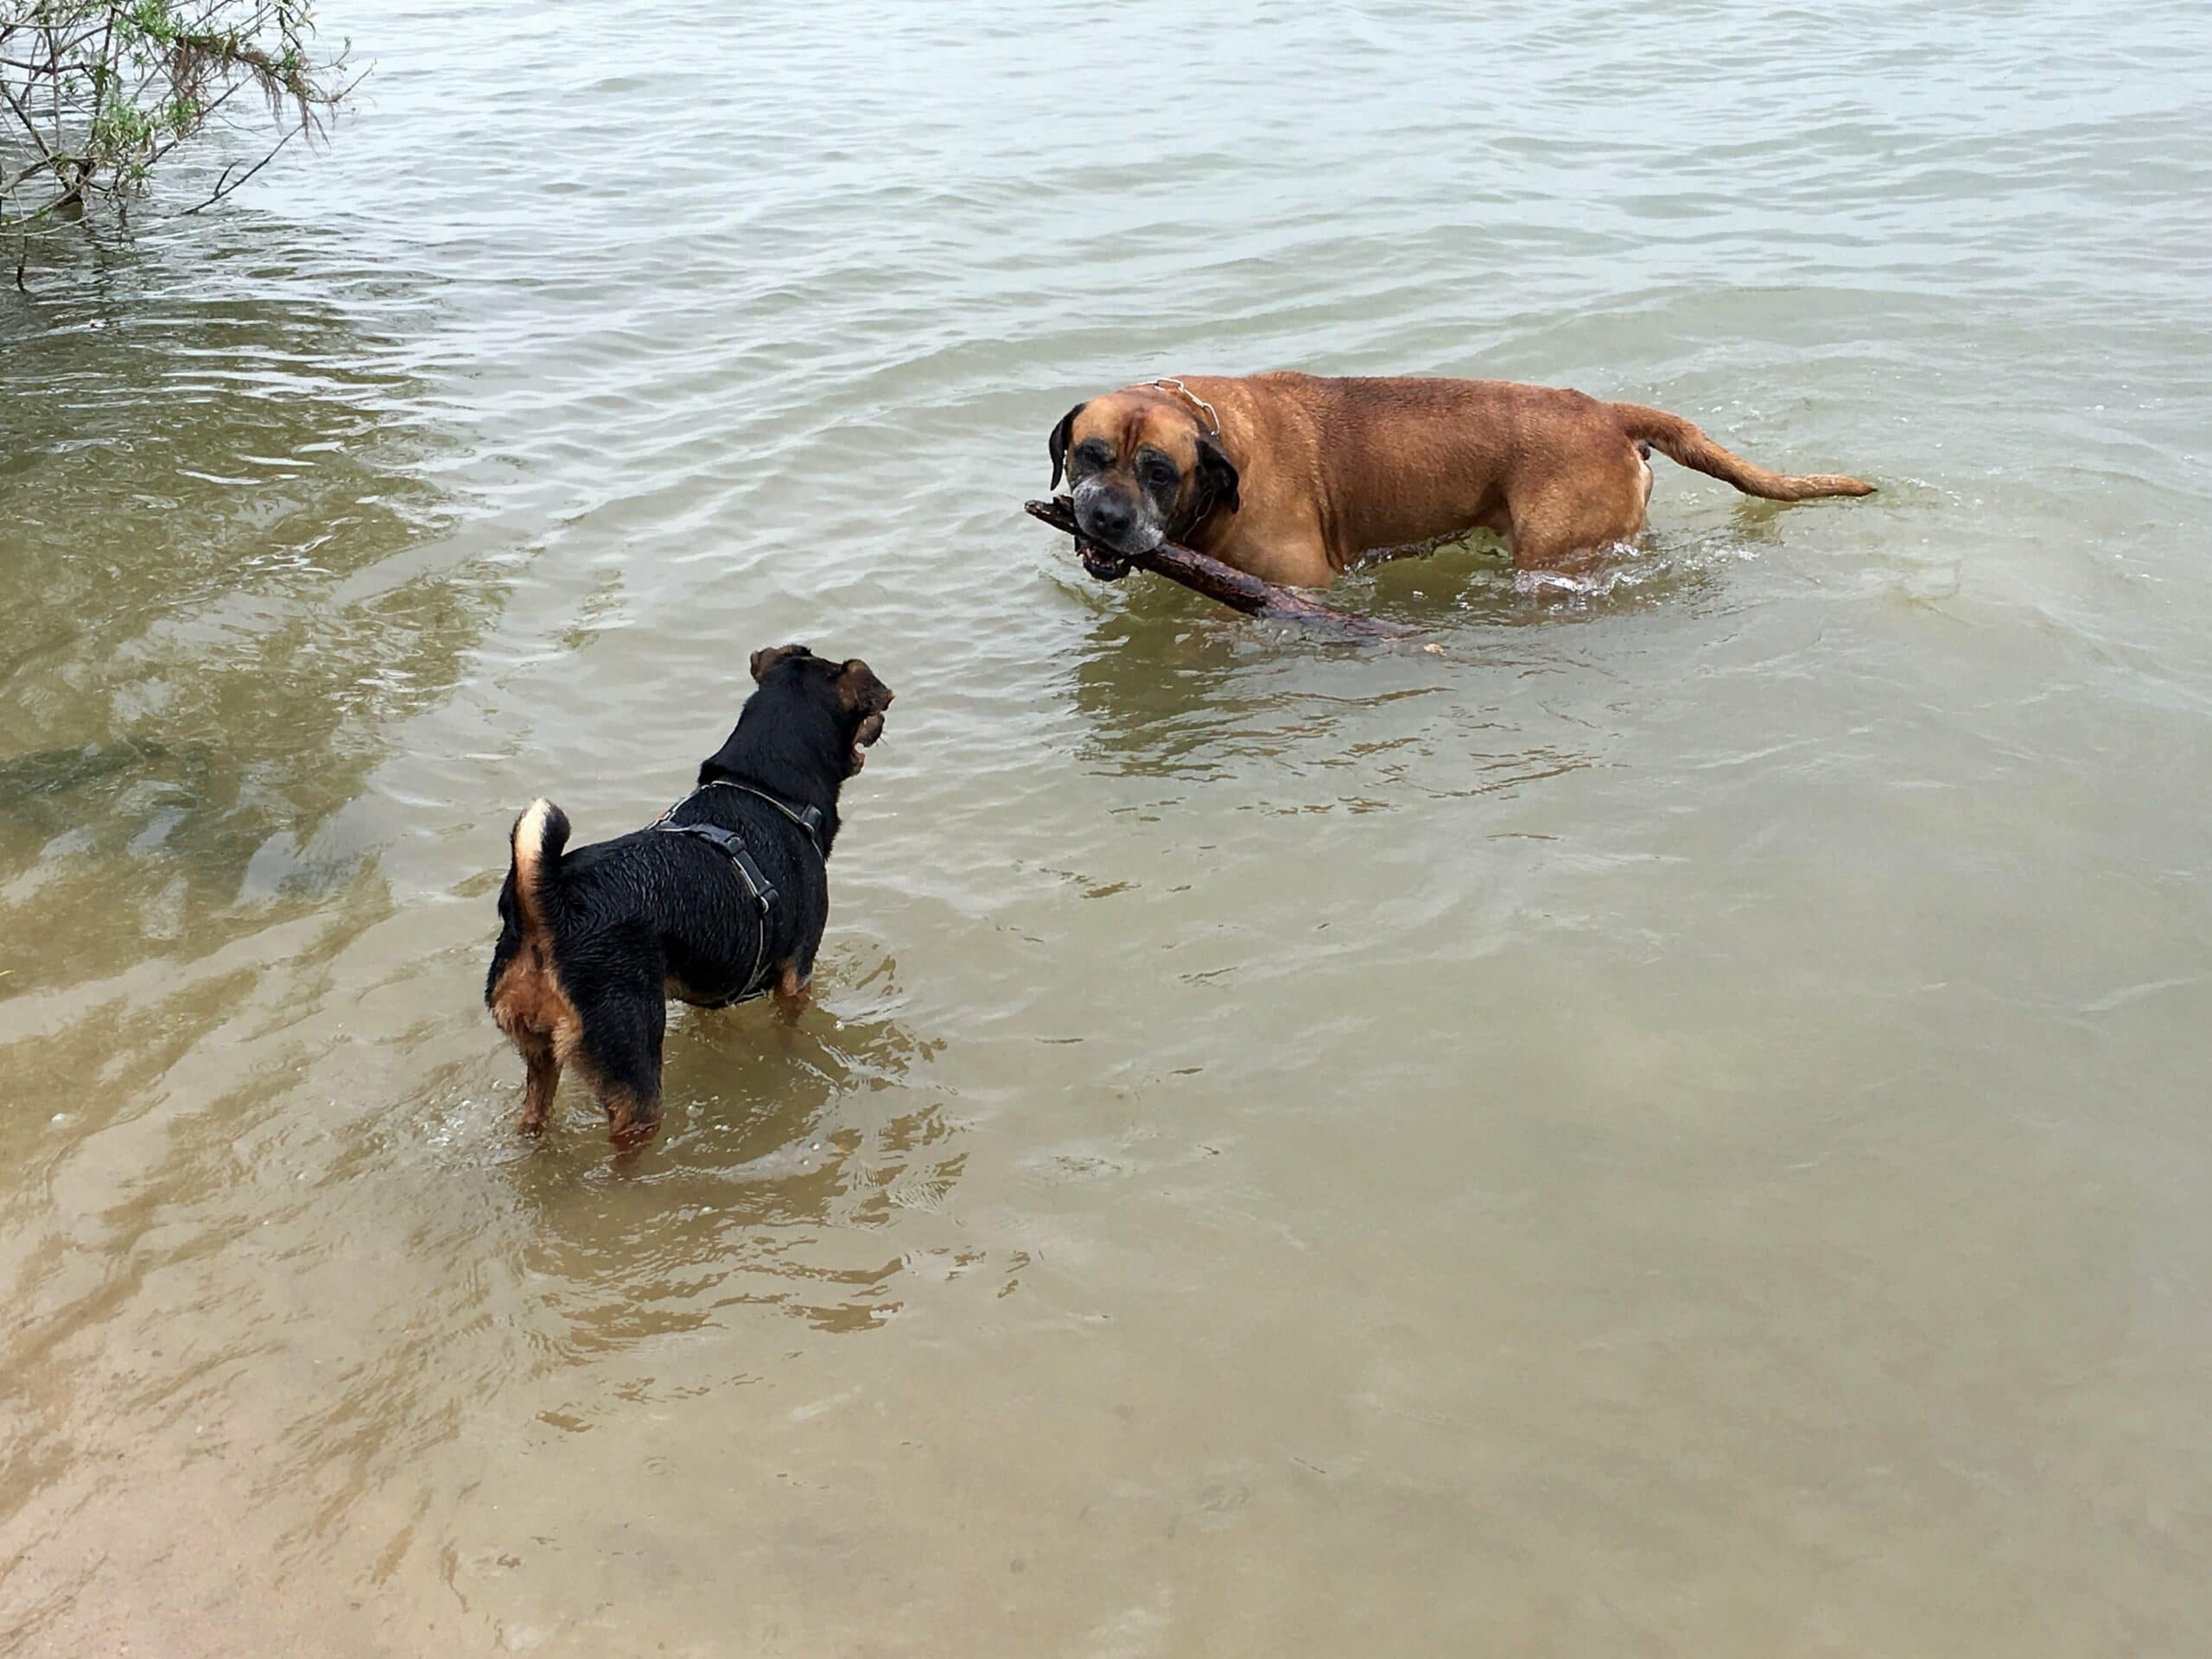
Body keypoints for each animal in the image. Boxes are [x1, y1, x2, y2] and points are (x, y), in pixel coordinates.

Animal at [488, 645, 893, 1141]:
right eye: (866, 712)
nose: (883, 719)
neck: (764, 786)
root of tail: (548, 904)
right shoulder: (798, 973)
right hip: (633, 1067)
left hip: (539, 1059)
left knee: (534, 1115)